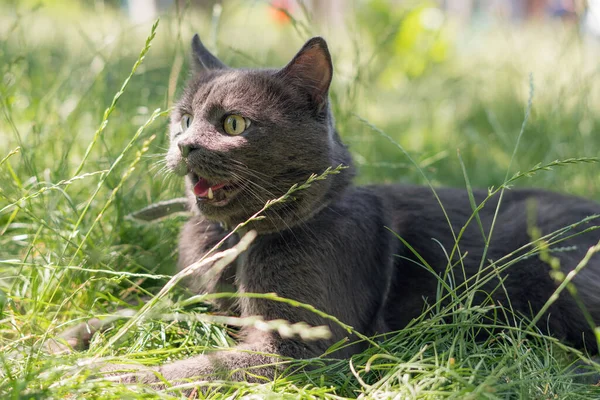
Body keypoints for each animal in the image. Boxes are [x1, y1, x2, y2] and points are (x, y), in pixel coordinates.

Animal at [124, 35, 596, 388]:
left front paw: (114, 375)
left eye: (233, 124)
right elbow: (147, 311)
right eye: (184, 120)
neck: (234, 237)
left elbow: (197, 367)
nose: (184, 146)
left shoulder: (300, 346)